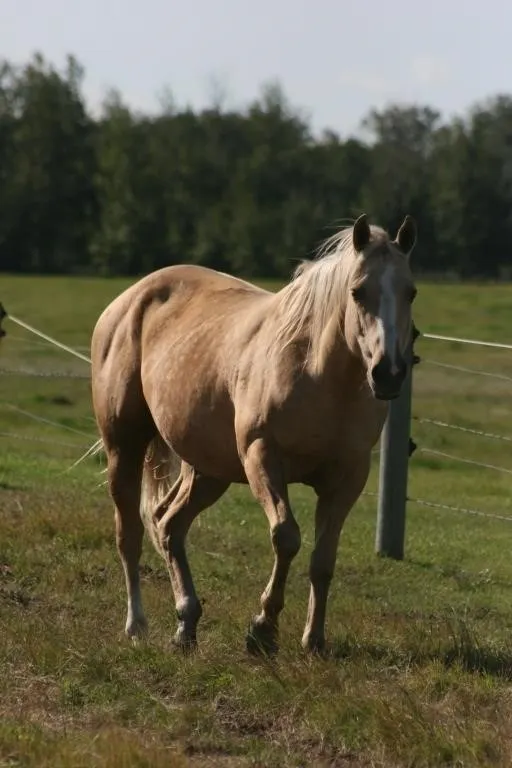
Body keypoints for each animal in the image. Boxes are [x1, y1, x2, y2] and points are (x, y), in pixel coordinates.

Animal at [89, 213, 417, 655]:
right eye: (358, 291)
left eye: (410, 292)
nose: (389, 373)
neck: (319, 375)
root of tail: (128, 300)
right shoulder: (263, 457)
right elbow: (286, 537)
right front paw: (263, 628)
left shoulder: (348, 476)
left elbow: (323, 559)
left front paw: (314, 639)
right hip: (124, 447)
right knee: (131, 534)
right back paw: (137, 625)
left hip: (207, 471)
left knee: (169, 524)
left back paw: (186, 622)